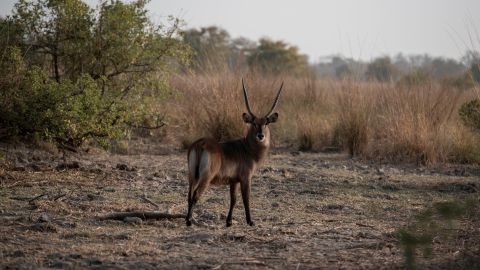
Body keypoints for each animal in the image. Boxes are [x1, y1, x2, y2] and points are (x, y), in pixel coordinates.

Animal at [186, 78, 284, 228]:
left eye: (266, 123)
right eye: (253, 123)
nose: (260, 136)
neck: (247, 148)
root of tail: (200, 143)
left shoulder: (233, 181)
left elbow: (233, 199)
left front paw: (229, 222)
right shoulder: (245, 178)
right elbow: (245, 199)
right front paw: (250, 221)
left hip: (192, 175)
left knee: (189, 194)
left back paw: (187, 219)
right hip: (206, 177)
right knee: (196, 194)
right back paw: (189, 221)